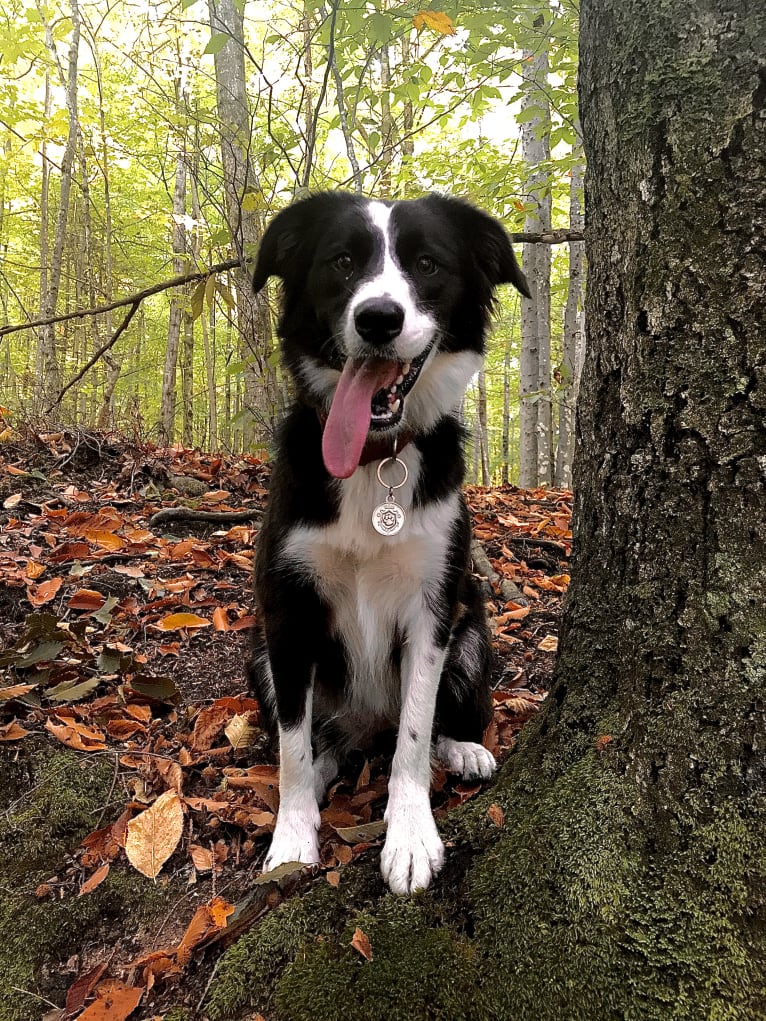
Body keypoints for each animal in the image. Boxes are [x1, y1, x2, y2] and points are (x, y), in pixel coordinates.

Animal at [249, 191, 531, 894]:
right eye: (342, 261)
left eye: (427, 264)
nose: (378, 318)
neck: (375, 459)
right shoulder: (286, 611)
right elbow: (291, 746)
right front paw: (292, 836)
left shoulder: (433, 608)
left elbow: (414, 730)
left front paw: (409, 836)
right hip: (259, 659)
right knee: (317, 742)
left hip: (472, 636)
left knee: (427, 725)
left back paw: (464, 749)